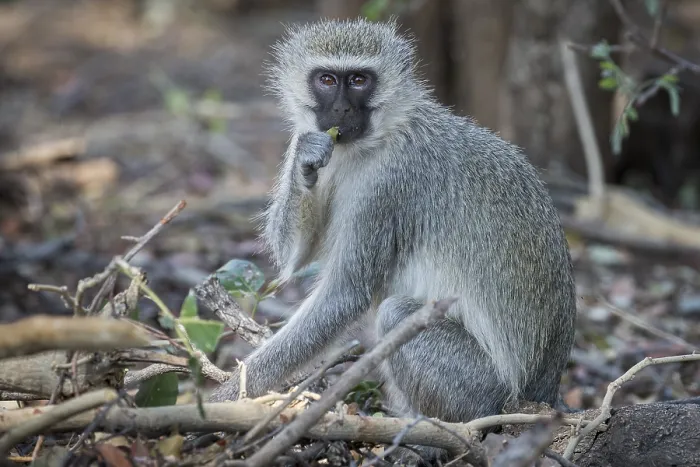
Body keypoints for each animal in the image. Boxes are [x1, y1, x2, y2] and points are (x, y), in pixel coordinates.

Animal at [209, 16, 576, 451]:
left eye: (359, 80)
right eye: (327, 79)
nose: (341, 109)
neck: (381, 136)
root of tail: (543, 393)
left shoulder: (390, 183)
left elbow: (345, 295)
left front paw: (221, 401)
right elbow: (295, 256)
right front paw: (305, 157)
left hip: (487, 388)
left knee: (397, 314)